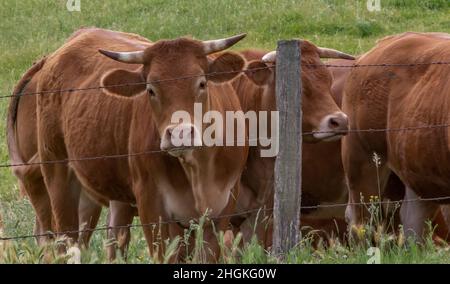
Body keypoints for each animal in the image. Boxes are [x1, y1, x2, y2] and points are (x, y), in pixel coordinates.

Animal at [33, 27, 248, 260]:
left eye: (201, 83)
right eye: (150, 89)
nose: (180, 133)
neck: (198, 171)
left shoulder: (222, 209)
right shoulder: (152, 206)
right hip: (57, 175)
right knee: (66, 241)